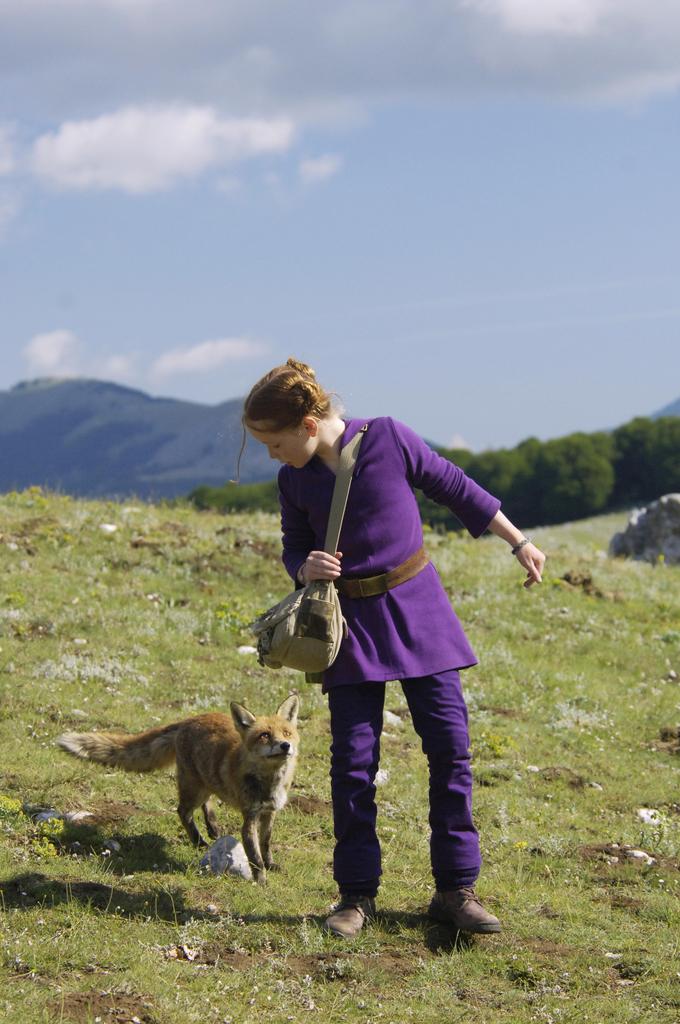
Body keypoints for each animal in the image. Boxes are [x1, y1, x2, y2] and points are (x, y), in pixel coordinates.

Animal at [57, 694, 299, 883]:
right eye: (264, 735)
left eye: (286, 733)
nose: (285, 745)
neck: (270, 784)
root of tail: (190, 719)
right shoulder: (250, 818)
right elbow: (254, 857)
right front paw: (261, 880)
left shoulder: (270, 812)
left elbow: (266, 844)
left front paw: (271, 865)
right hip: (193, 788)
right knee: (183, 811)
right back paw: (199, 840)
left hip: (204, 784)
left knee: (206, 803)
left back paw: (212, 827)